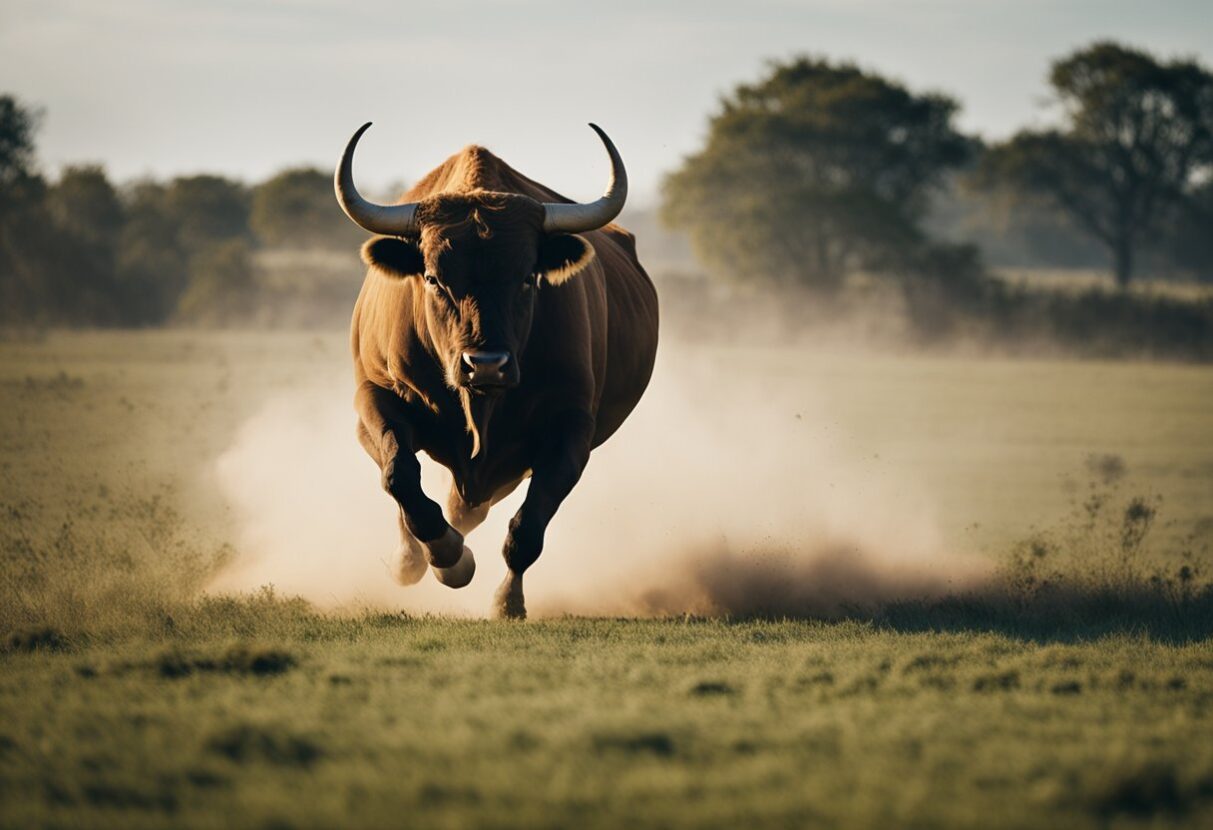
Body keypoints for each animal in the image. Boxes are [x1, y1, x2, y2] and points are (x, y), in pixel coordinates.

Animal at [332, 121, 659, 616]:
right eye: (433, 278)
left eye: (527, 277)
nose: (485, 365)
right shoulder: (374, 397)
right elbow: (399, 473)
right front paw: (444, 556)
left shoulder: (568, 431)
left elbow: (527, 527)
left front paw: (507, 600)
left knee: (470, 507)